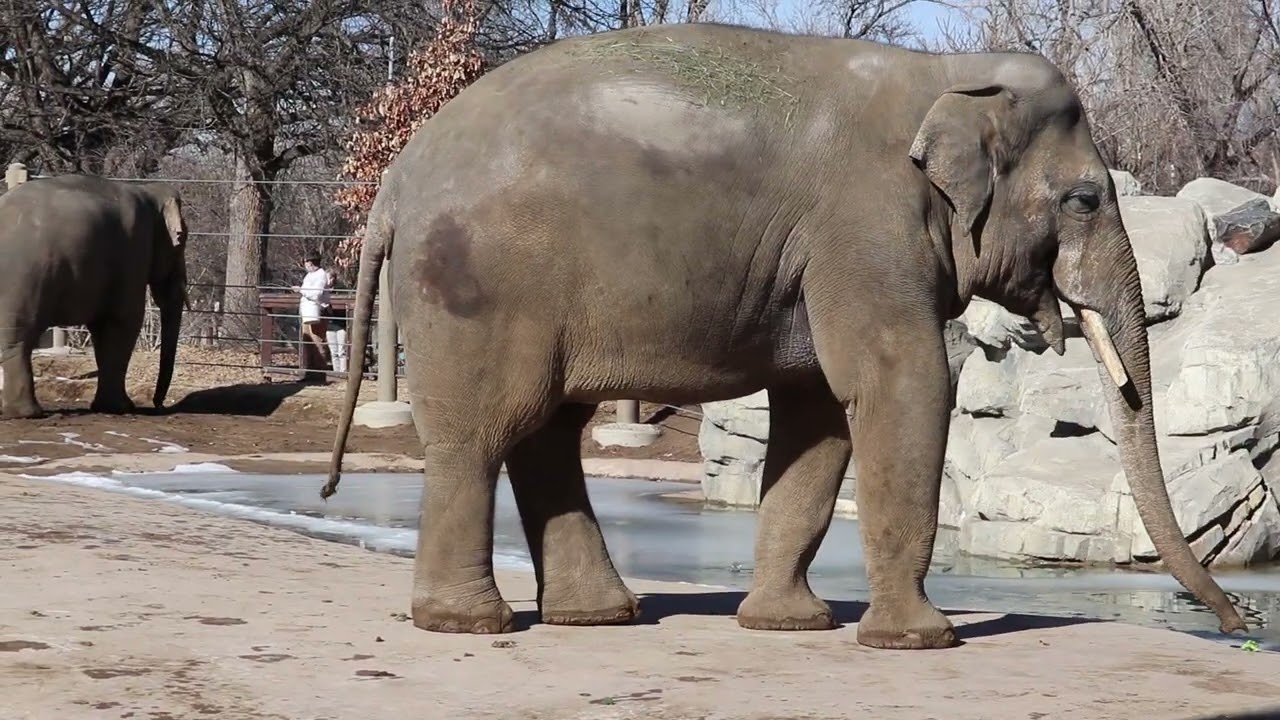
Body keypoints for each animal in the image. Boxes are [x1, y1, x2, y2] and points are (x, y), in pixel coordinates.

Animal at [0, 174, 189, 419]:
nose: (159, 405)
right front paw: (121, 408)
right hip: (23, 279)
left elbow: (102, 329)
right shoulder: (134, 250)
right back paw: (27, 413)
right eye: (182, 239)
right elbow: (125, 321)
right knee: (19, 339)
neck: (148, 191)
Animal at [322, 23, 1248, 647]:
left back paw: (597, 618)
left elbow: (818, 413)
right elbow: (902, 382)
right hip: (476, 287)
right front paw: (920, 641)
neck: (948, 76)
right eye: (1085, 200)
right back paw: (468, 625)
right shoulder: (866, 226)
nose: (1240, 618)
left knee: (547, 430)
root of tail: (394, 178)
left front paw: (788, 627)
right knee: (483, 433)